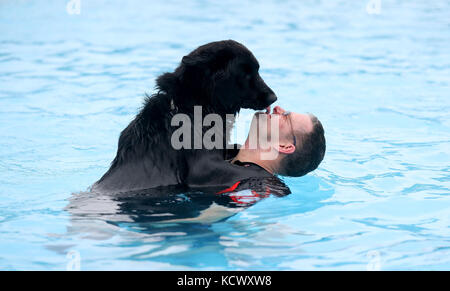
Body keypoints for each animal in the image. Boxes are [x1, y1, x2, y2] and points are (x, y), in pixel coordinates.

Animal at [92, 39, 276, 194]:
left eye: (257, 70)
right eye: (246, 74)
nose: (274, 97)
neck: (193, 109)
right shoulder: (204, 169)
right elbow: (255, 171)